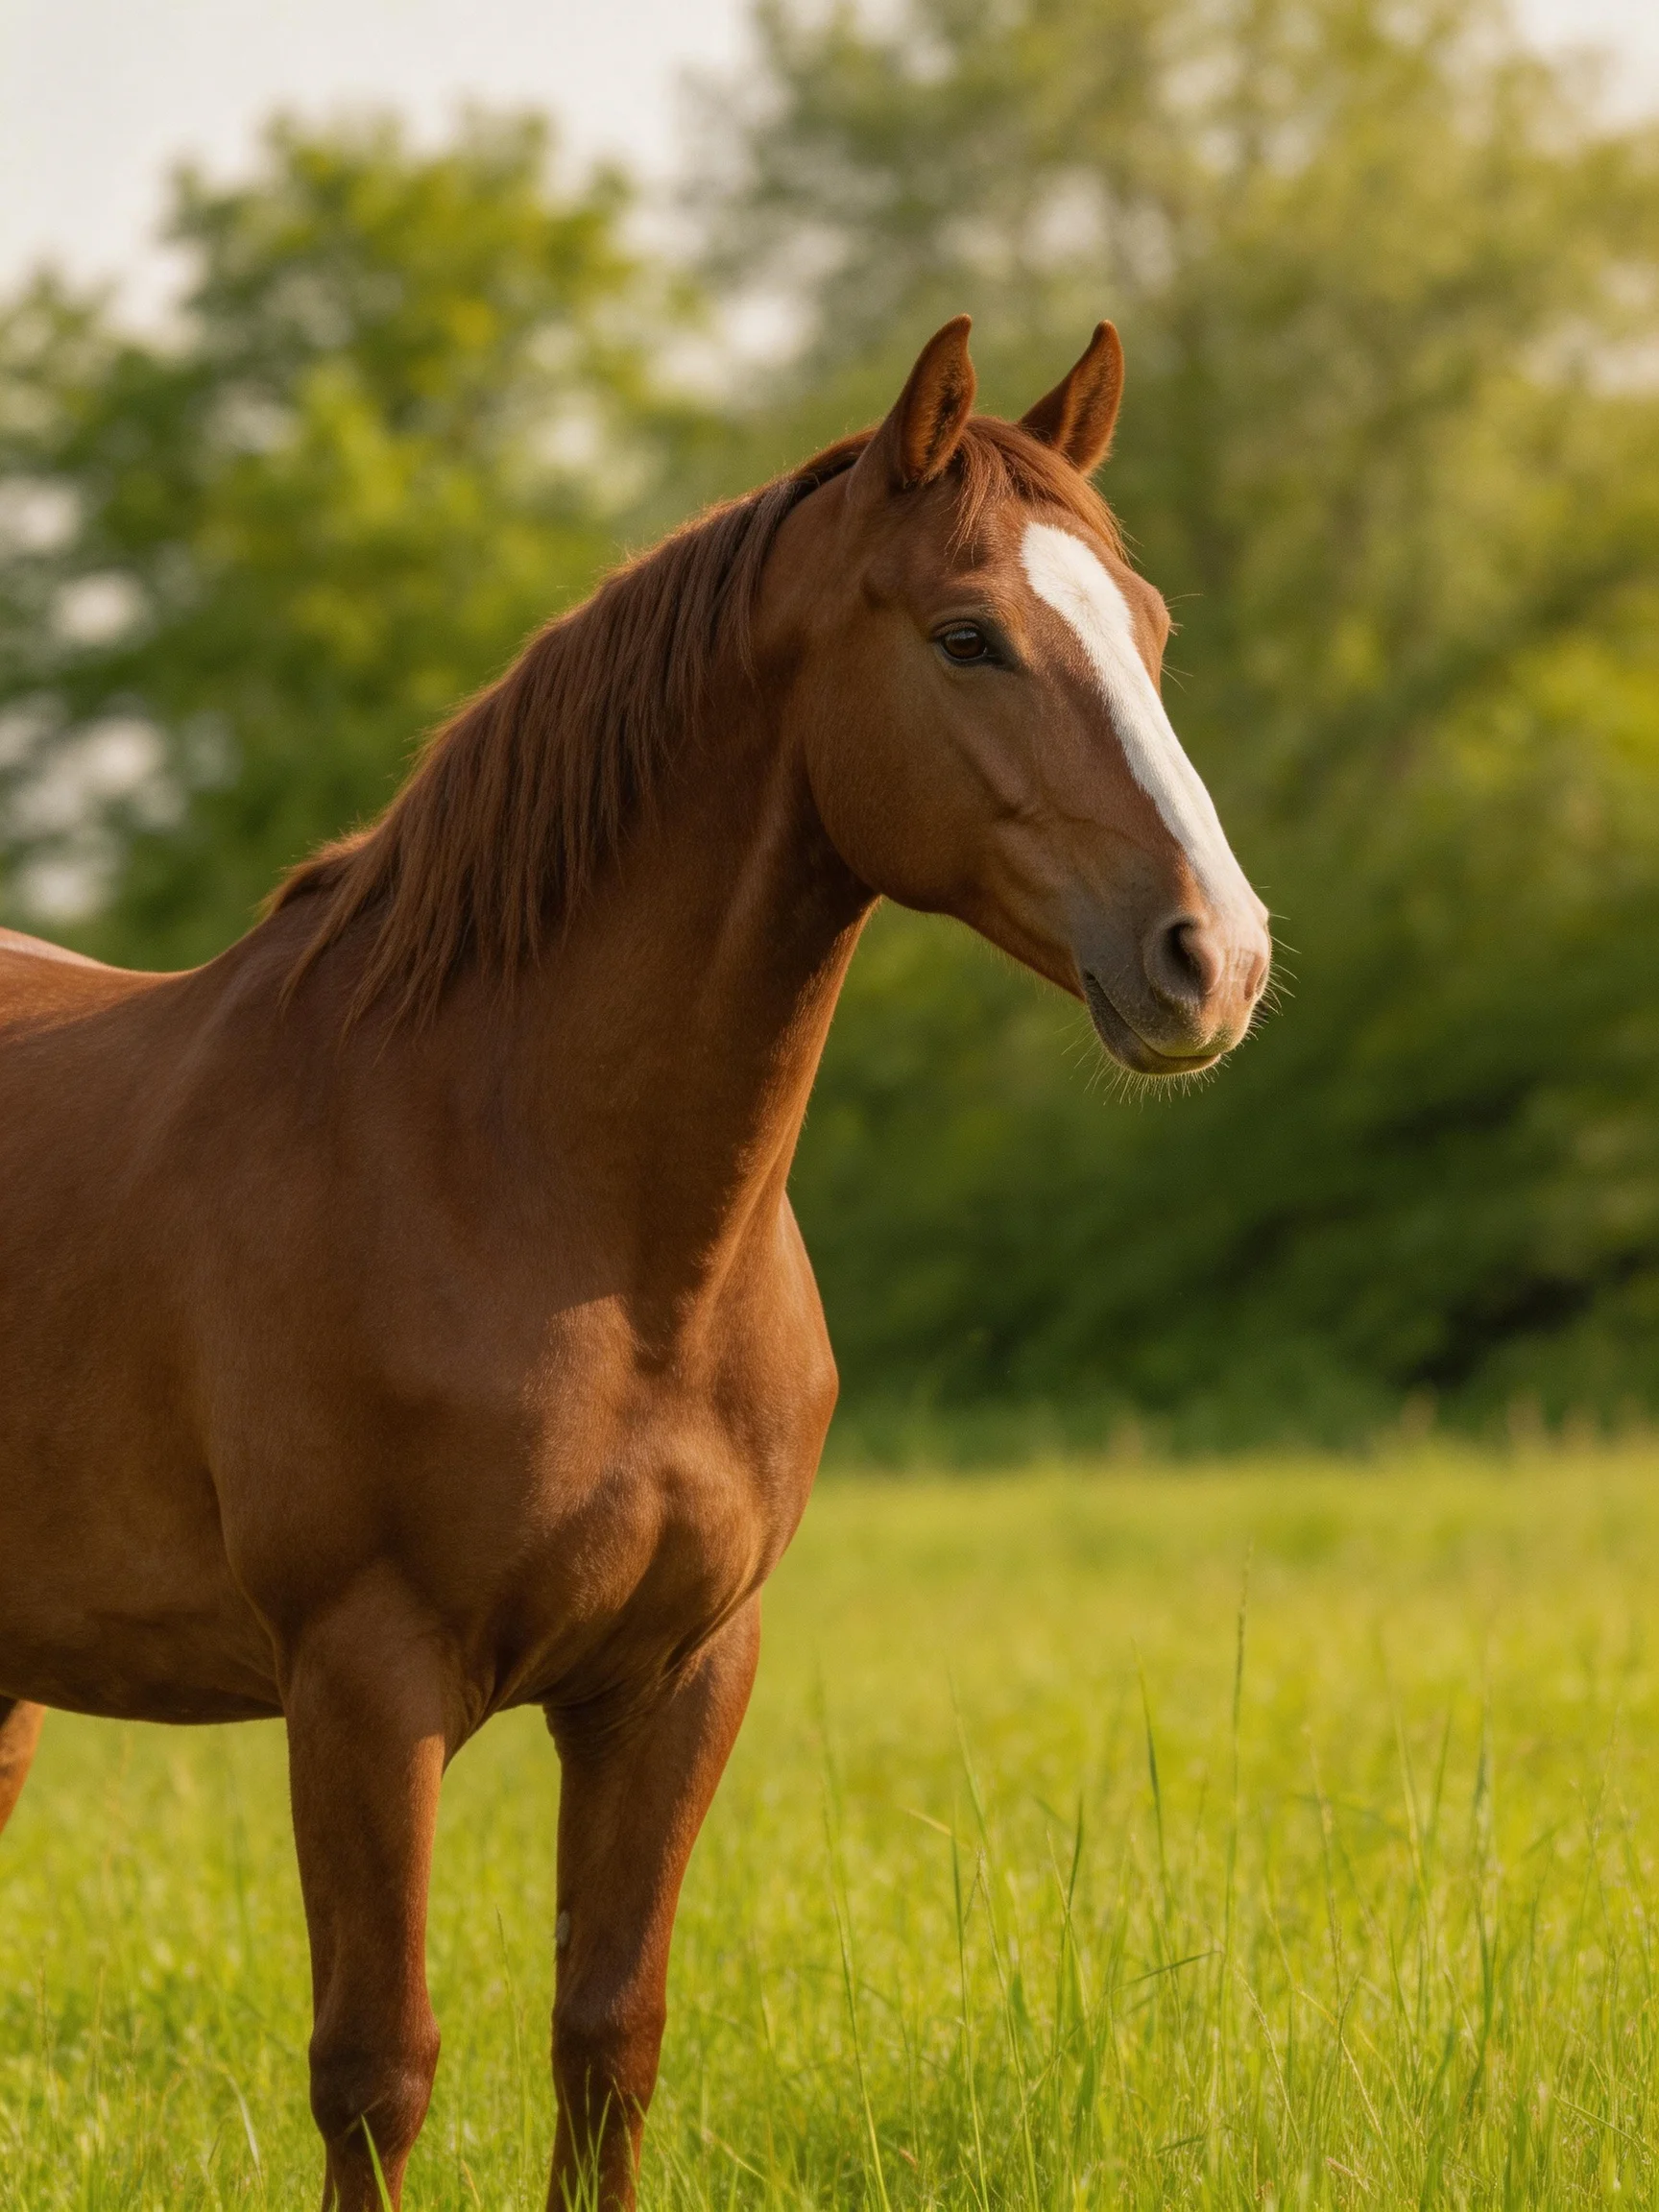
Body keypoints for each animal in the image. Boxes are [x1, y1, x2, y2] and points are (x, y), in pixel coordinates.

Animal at [0, 316, 1271, 2210]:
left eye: (1153, 627)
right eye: (967, 633)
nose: (1213, 956)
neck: (564, 1215)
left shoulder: (670, 1679)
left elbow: (608, 2041)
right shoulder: (362, 1685)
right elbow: (374, 2068)